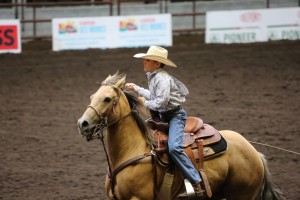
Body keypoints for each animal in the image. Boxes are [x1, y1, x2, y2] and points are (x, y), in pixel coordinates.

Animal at [77, 72, 284, 200]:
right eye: (92, 97)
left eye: (107, 99)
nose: (82, 123)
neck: (132, 150)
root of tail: (254, 152)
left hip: (241, 195)